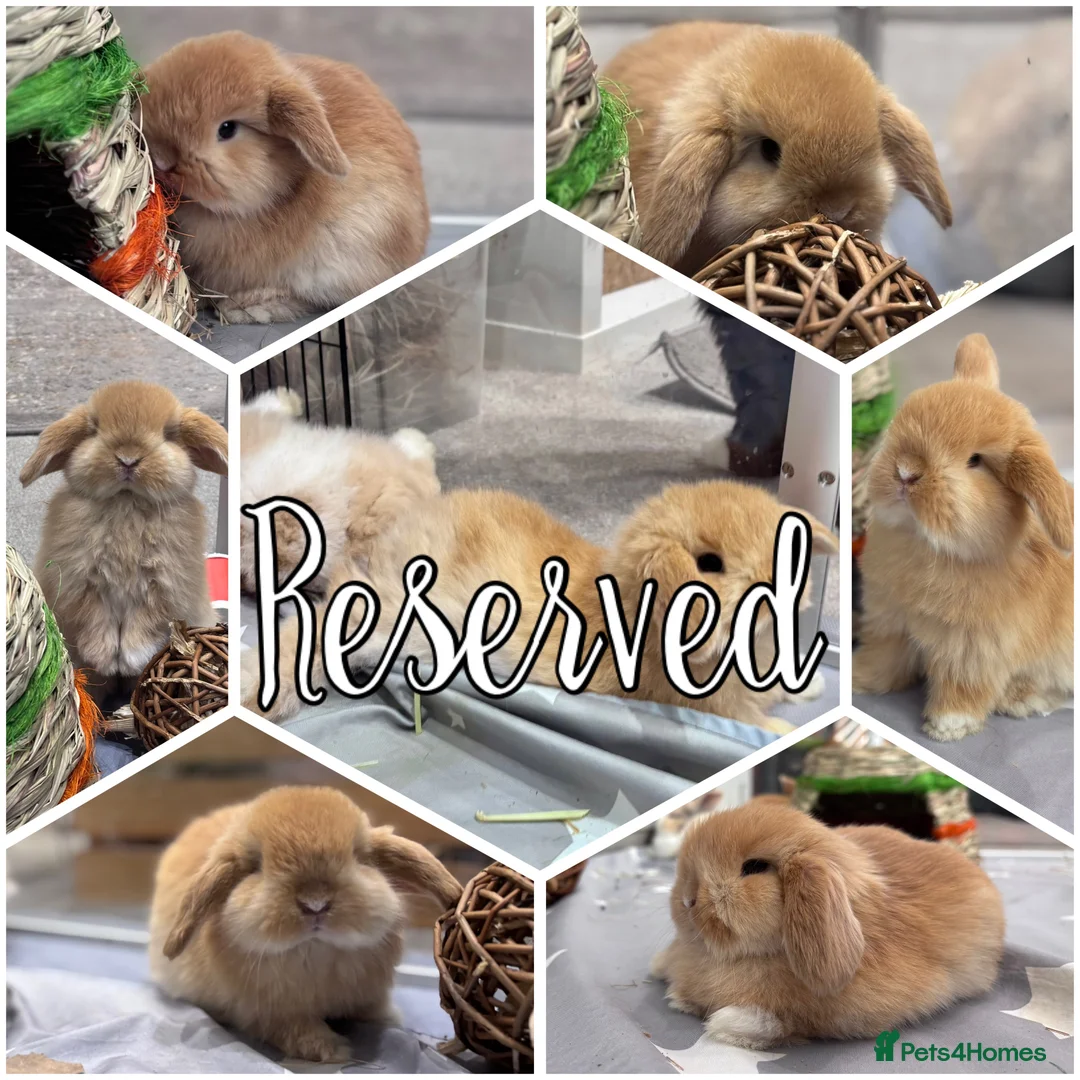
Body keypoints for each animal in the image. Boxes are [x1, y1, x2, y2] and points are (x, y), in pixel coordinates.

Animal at [19, 382, 227, 700]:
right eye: (94, 429)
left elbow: (147, 623)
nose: (128, 459)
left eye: (169, 434)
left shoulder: (165, 587)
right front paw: (106, 659)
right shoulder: (81, 585)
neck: (126, 500)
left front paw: (129, 661)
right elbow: (93, 619)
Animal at [148, 785, 462, 1063]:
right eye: (255, 866)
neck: (314, 952)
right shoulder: (266, 1012)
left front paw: (389, 1018)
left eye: (359, 857)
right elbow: (293, 1028)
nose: (315, 903)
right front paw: (331, 1050)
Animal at [853, 334, 1073, 741]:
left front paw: (947, 727)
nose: (905, 472)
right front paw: (861, 680)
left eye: (975, 461)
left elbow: (962, 687)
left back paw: (1020, 699)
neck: (928, 545)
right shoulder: (890, 622)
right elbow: (884, 659)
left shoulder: (974, 649)